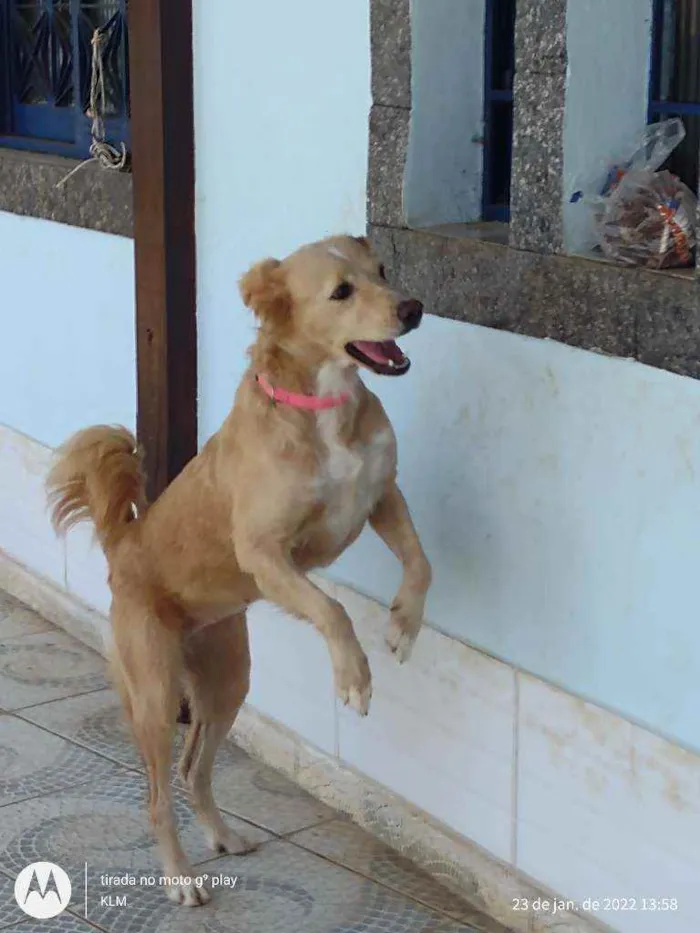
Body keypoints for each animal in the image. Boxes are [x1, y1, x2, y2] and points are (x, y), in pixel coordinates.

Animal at [46, 233, 430, 904]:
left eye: (383, 270)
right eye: (341, 291)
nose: (413, 309)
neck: (324, 403)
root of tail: (126, 544)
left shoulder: (383, 496)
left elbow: (420, 561)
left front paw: (404, 624)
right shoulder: (266, 553)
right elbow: (331, 609)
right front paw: (353, 676)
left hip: (227, 680)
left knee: (192, 769)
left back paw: (223, 836)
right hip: (154, 694)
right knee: (156, 796)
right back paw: (180, 879)